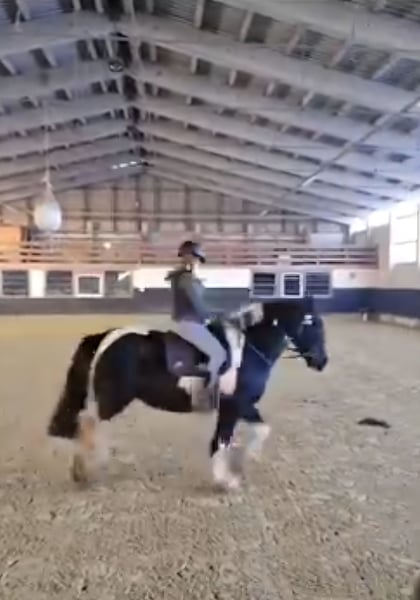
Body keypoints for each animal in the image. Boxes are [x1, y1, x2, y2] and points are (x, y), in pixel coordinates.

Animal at [47, 296, 328, 488]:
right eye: (312, 324)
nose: (322, 361)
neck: (247, 349)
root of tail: (106, 336)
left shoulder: (241, 407)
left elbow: (253, 431)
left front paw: (242, 462)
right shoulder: (235, 405)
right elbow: (225, 440)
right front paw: (226, 480)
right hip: (114, 399)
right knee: (89, 425)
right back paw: (88, 468)